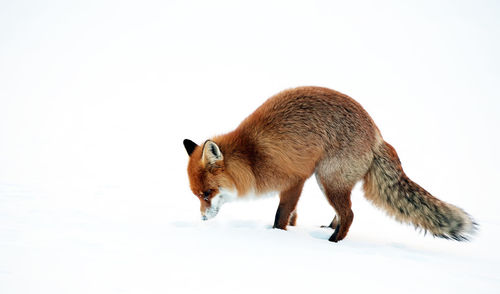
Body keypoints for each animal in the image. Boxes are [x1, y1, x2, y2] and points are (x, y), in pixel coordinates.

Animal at [183, 86, 476, 242]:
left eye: (208, 193)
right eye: (197, 195)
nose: (202, 219)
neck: (252, 157)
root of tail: (377, 134)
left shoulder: (295, 178)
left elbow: (281, 215)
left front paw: (278, 236)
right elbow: (292, 214)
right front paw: (293, 229)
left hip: (327, 180)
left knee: (350, 215)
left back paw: (333, 243)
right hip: (331, 183)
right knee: (342, 213)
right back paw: (329, 229)